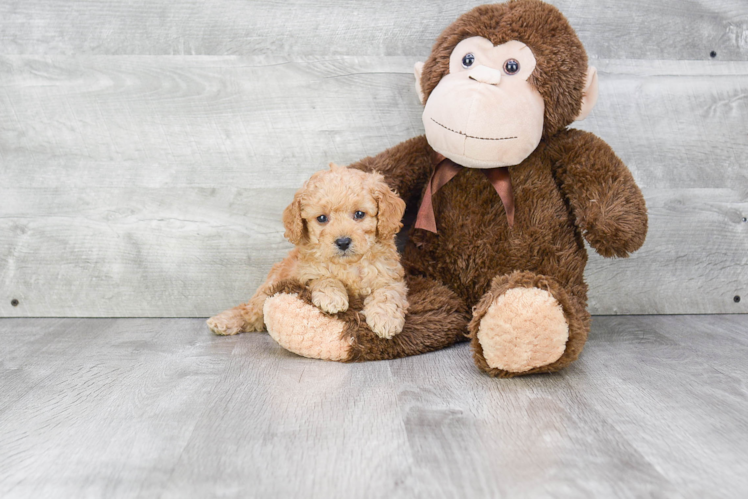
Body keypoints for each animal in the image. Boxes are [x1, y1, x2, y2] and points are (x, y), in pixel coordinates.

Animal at [206, 164, 410, 340]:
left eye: (359, 214)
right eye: (322, 218)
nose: (343, 242)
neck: (348, 264)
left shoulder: (390, 277)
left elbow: (387, 295)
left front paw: (385, 320)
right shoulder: (307, 272)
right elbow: (324, 278)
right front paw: (333, 298)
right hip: (267, 289)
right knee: (248, 311)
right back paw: (224, 321)